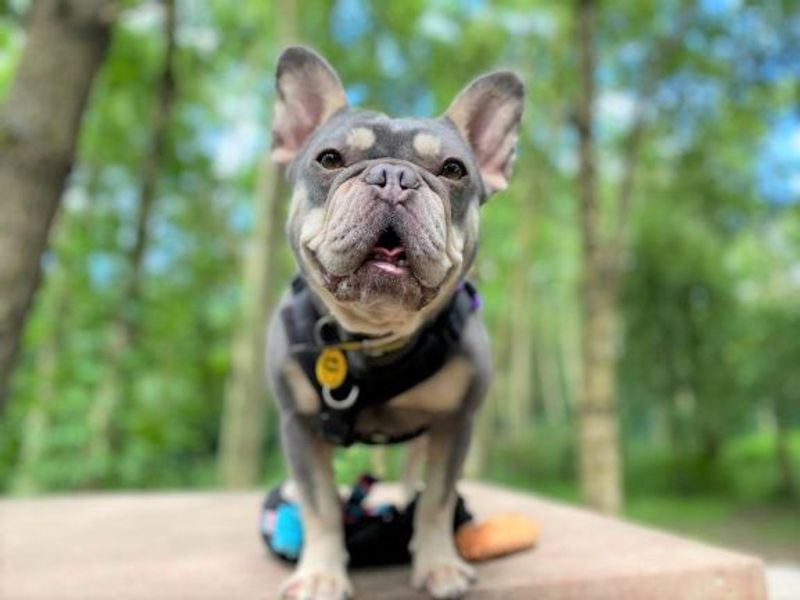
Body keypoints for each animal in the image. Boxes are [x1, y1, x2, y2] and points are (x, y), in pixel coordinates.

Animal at [264, 44, 524, 596]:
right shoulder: (300, 424)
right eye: (329, 159)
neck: (375, 337)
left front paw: (439, 564)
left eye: (453, 169)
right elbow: (320, 506)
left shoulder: (454, 423)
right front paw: (320, 574)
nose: (393, 177)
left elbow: (438, 500)